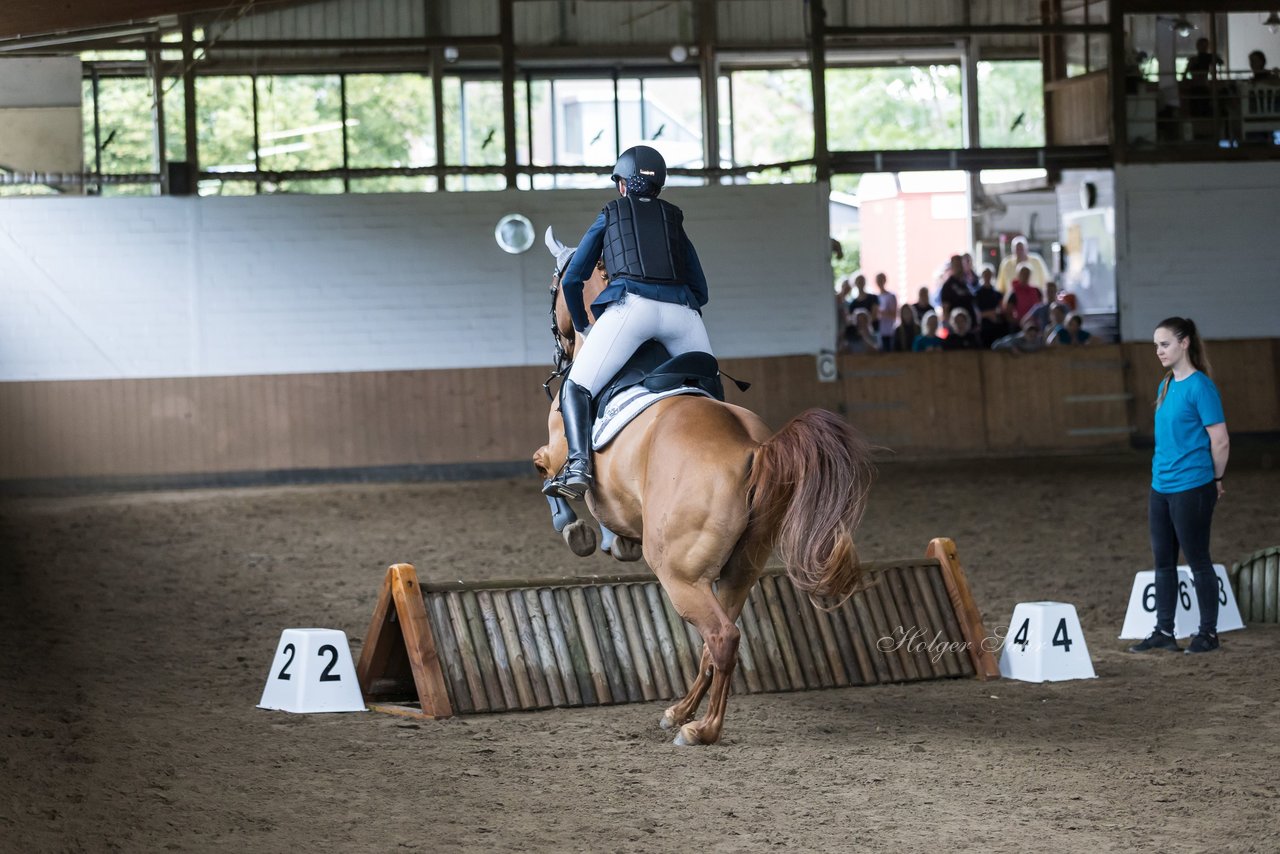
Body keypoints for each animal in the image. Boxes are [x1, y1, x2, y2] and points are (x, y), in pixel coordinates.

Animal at [529, 230, 870, 742]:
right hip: (739, 569)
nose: (560, 350)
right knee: (717, 640)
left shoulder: (556, 448)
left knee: (722, 637)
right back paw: (680, 713)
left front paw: (579, 531)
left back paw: (701, 729)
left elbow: (551, 475)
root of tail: (752, 449)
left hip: (680, 573)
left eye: (554, 285)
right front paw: (615, 540)